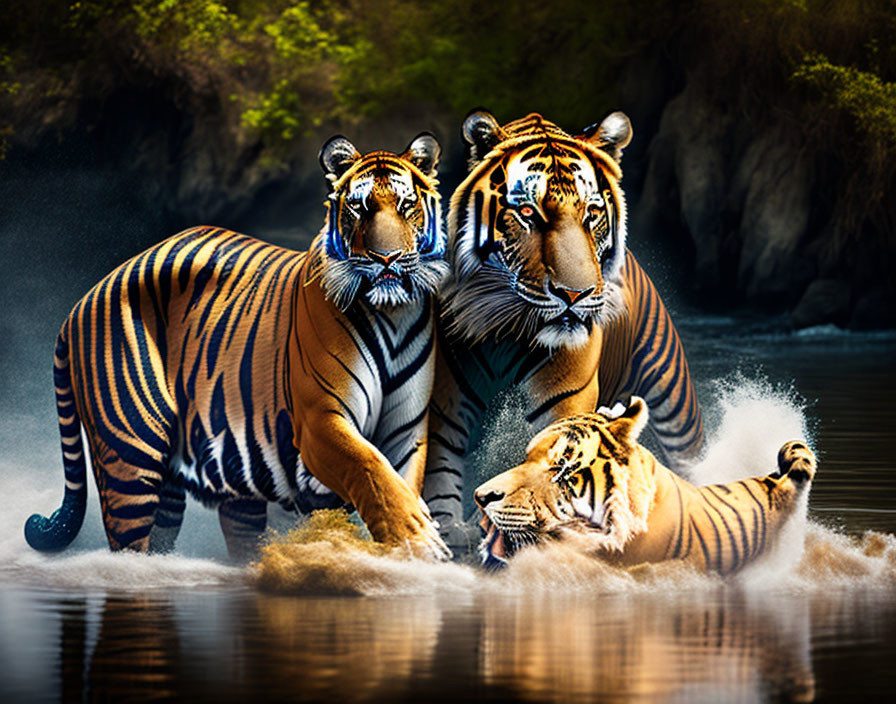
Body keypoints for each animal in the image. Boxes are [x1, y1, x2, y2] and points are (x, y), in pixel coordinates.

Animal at [24, 133, 452, 560]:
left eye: (406, 205)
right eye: (359, 207)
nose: (387, 259)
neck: (391, 313)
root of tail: (84, 300)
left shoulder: (406, 430)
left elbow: (398, 481)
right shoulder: (320, 420)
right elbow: (370, 470)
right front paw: (420, 540)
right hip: (129, 454)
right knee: (129, 541)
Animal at [424, 110, 704, 552]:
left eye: (592, 213)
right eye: (527, 213)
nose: (575, 294)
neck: (510, 326)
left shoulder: (566, 398)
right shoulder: (445, 398)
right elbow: (440, 467)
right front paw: (450, 527)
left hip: (672, 394)